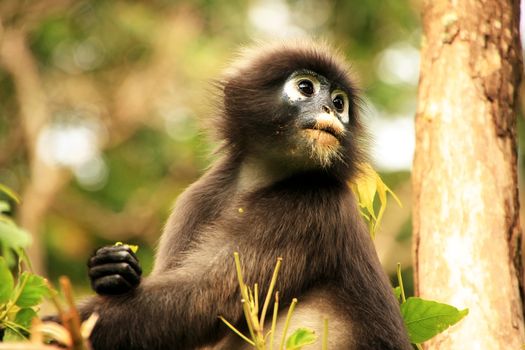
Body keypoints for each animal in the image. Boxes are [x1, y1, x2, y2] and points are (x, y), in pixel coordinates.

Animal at [79, 39, 414, 348]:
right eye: (306, 88)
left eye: (339, 102)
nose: (329, 108)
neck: (262, 179)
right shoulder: (197, 198)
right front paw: (111, 269)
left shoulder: (309, 205)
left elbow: (197, 297)